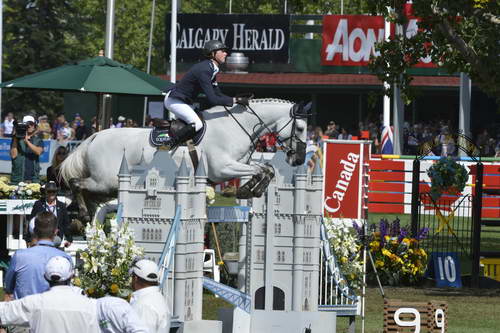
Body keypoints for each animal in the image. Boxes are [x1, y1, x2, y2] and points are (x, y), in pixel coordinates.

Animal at [59, 98, 308, 218]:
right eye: (302, 128)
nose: (298, 160)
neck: (237, 125)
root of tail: (95, 136)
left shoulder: (239, 164)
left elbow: (266, 169)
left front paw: (250, 190)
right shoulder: (223, 169)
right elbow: (261, 170)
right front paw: (248, 190)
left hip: (106, 185)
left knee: (87, 192)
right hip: (105, 181)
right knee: (76, 183)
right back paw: (82, 213)